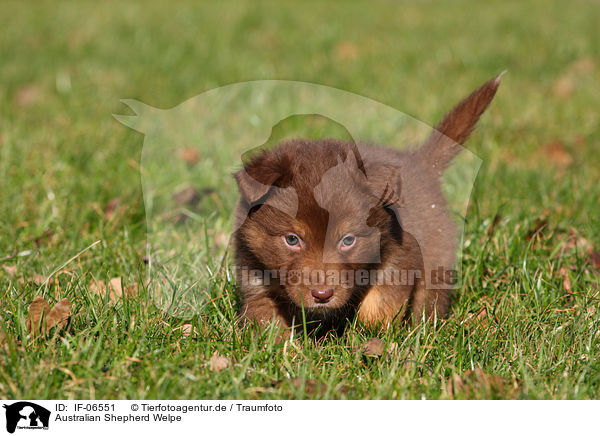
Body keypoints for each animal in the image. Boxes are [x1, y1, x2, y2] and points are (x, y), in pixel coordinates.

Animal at [234, 74, 502, 334]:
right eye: (292, 239)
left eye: (348, 240)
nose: (322, 295)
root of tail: (420, 162)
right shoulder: (255, 273)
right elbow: (266, 318)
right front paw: (278, 344)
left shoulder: (401, 255)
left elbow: (379, 302)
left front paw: (368, 333)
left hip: (436, 257)